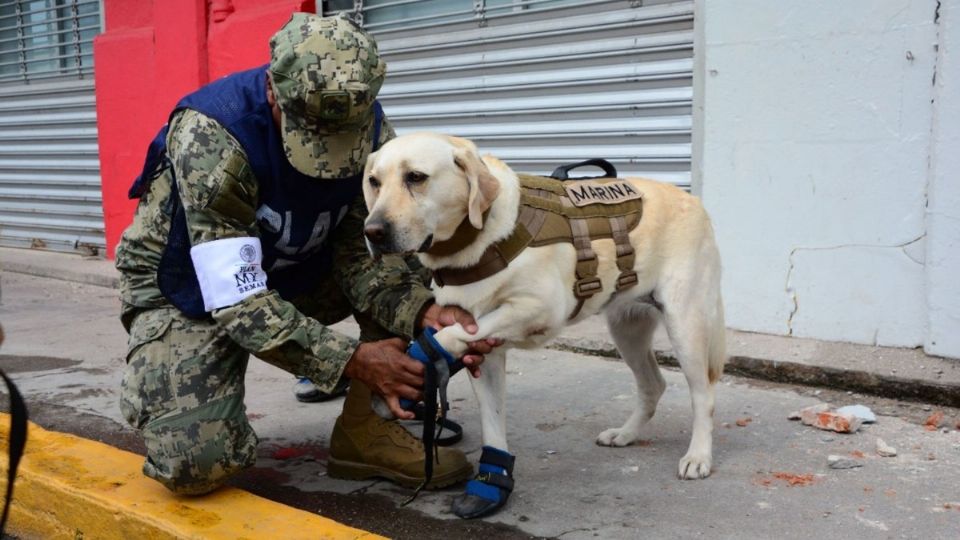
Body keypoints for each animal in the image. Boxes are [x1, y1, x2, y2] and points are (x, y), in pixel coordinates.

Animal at [364, 132, 724, 520]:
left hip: (685, 324)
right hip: (627, 329)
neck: (477, 238)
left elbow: (448, 335)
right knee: (653, 385)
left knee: (703, 393)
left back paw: (698, 456)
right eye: (374, 182)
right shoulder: (487, 353)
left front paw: (421, 357)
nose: (372, 231)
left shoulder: (541, 309)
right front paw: (491, 485)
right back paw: (625, 434)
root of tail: (693, 199)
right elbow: (492, 422)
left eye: (416, 177)